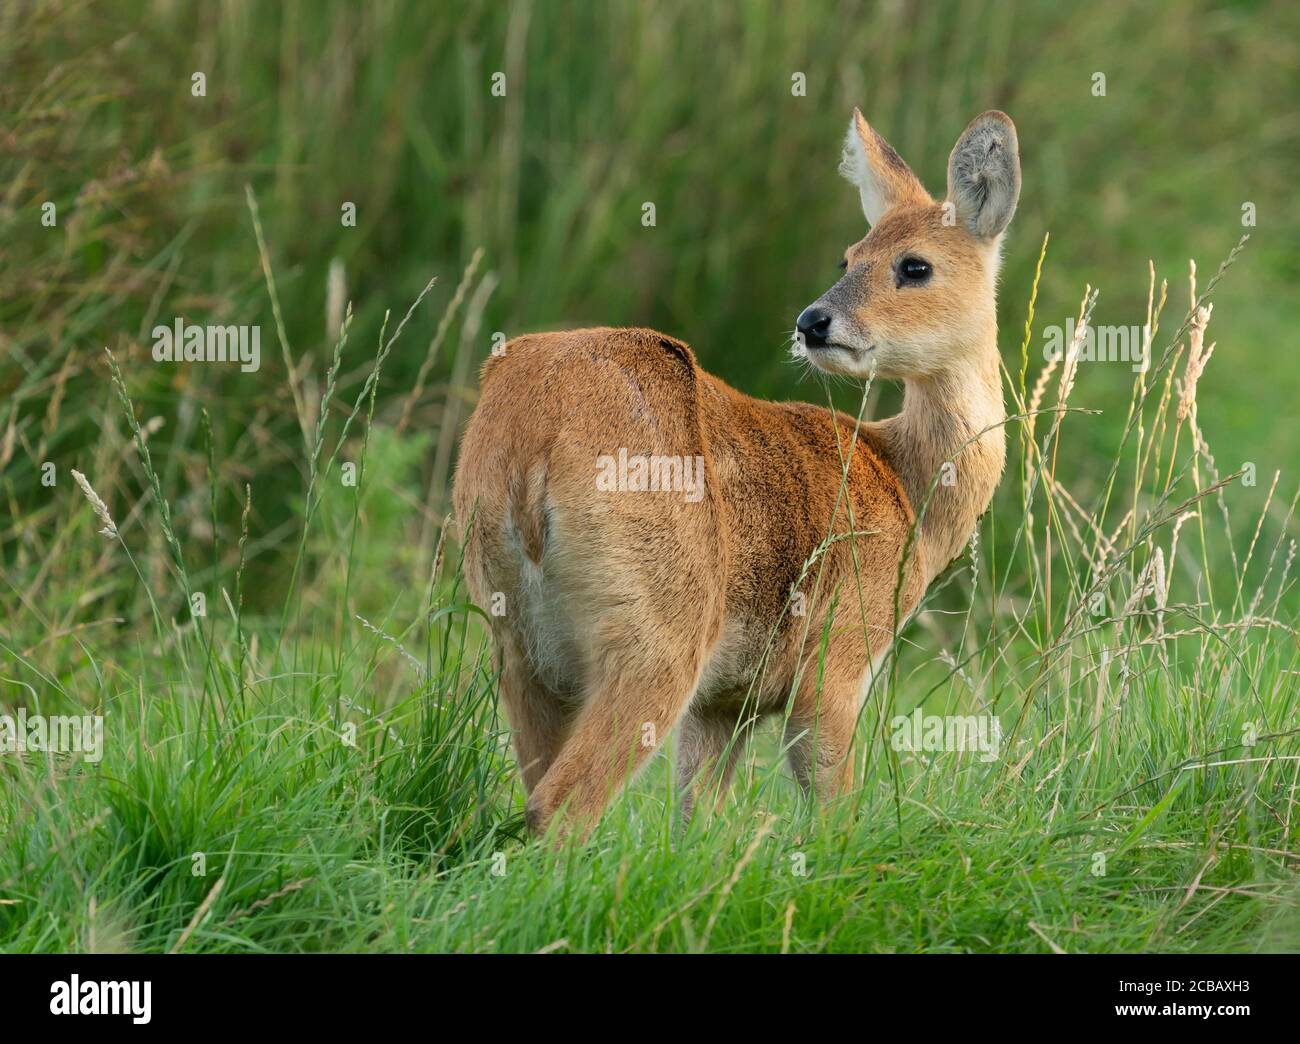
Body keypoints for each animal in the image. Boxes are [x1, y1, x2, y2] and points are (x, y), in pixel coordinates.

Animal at [452, 105, 1019, 842]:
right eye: (850, 257)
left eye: (914, 265)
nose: (812, 322)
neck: (906, 487)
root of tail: (532, 433)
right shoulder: (835, 661)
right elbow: (833, 809)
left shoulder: (725, 703)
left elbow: (697, 822)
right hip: (658, 630)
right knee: (560, 807)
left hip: (518, 642)